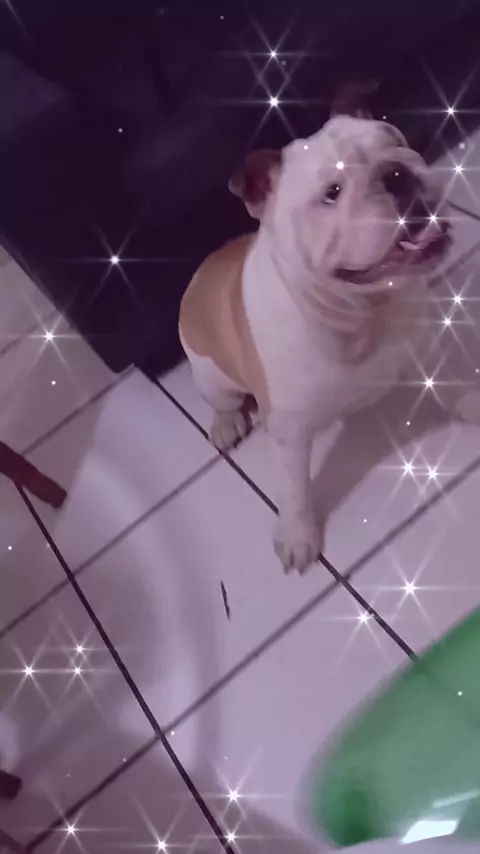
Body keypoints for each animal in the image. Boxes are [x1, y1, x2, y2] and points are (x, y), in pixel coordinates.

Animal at [180, 110, 461, 574]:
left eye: (397, 143)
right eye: (332, 193)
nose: (396, 173)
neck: (363, 312)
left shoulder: (427, 342)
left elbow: (458, 380)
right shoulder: (290, 433)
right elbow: (293, 490)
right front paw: (297, 535)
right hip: (210, 375)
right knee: (223, 401)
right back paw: (226, 423)